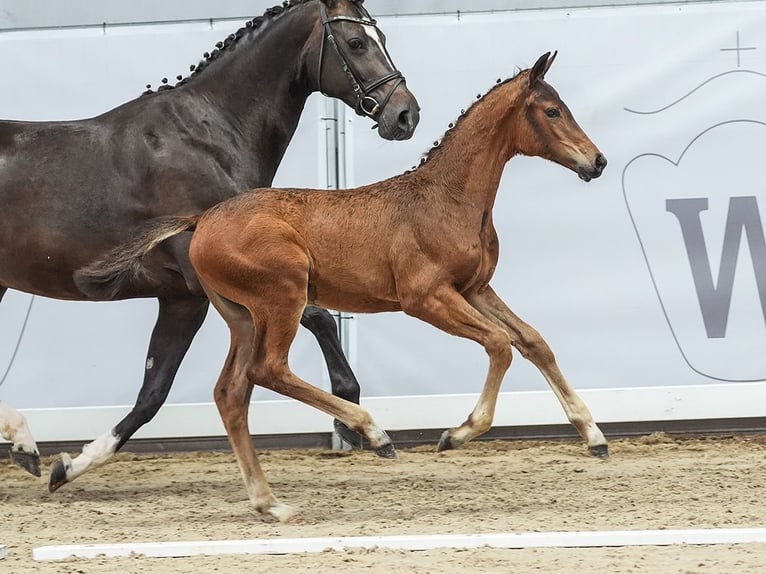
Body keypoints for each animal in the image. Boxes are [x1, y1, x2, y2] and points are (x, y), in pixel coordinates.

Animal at [81, 54, 608, 520]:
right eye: (552, 110)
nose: (598, 161)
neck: (448, 198)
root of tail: (202, 219)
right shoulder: (425, 298)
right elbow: (500, 344)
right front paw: (456, 434)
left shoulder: (476, 289)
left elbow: (534, 341)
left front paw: (594, 436)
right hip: (283, 297)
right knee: (268, 370)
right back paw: (373, 434)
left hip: (242, 316)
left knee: (231, 392)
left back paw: (270, 503)